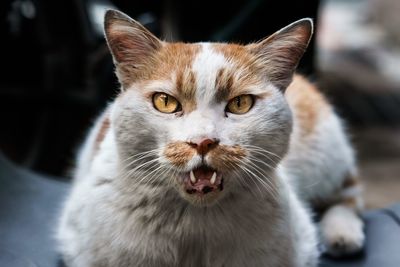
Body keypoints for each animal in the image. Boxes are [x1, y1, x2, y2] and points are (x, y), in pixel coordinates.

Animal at [56, 9, 366, 266]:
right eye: (165, 102)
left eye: (240, 104)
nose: (203, 141)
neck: (195, 221)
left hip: (326, 155)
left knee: (347, 192)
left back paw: (343, 235)